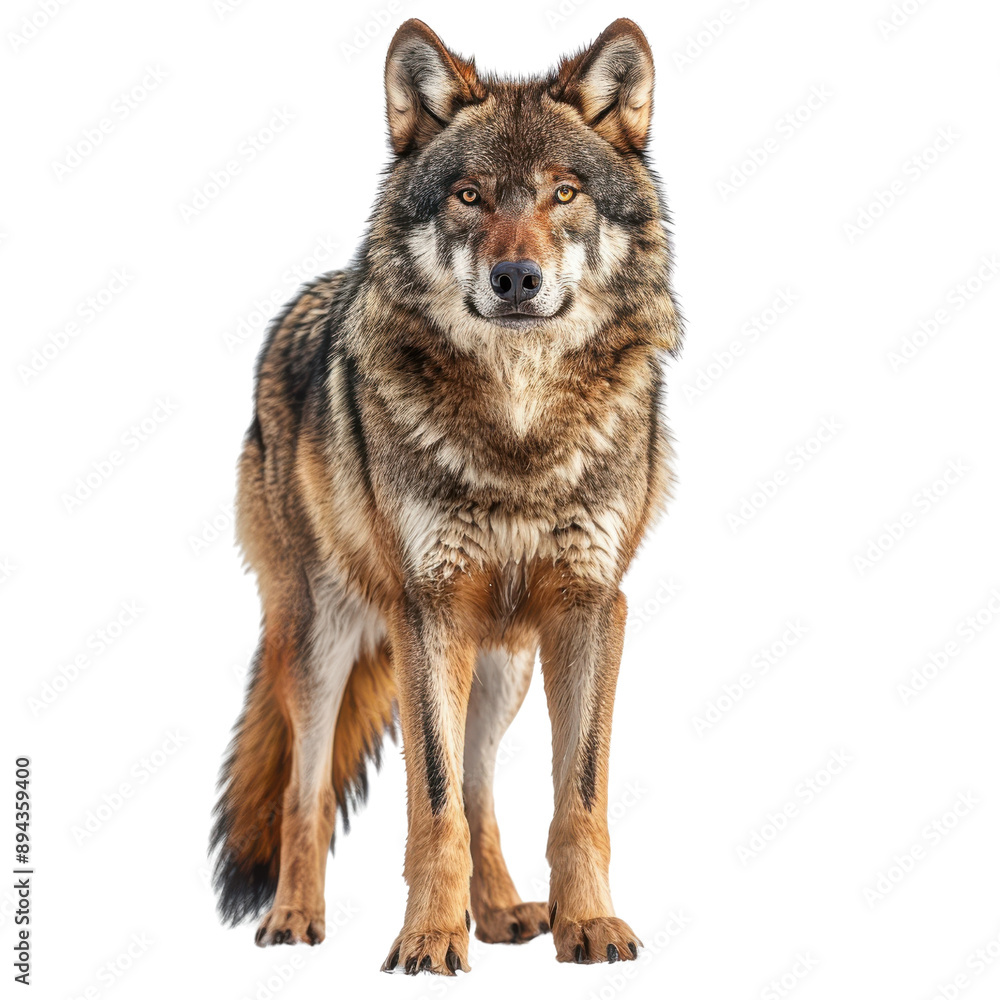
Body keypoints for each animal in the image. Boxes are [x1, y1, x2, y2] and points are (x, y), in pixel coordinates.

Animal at [210, 17, 682, 974]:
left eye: (563, 193)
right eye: (469, 196)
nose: (516, 280)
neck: (520, 431)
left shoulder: (591, 606)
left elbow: (574, 799)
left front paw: (588, 927)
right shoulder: (425, 608)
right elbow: (428, 803)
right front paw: (427, 939)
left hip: (503, 660)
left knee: (480, 786)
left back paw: (500, 915)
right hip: (323, 641)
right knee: (306, 794)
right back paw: (294, 918)